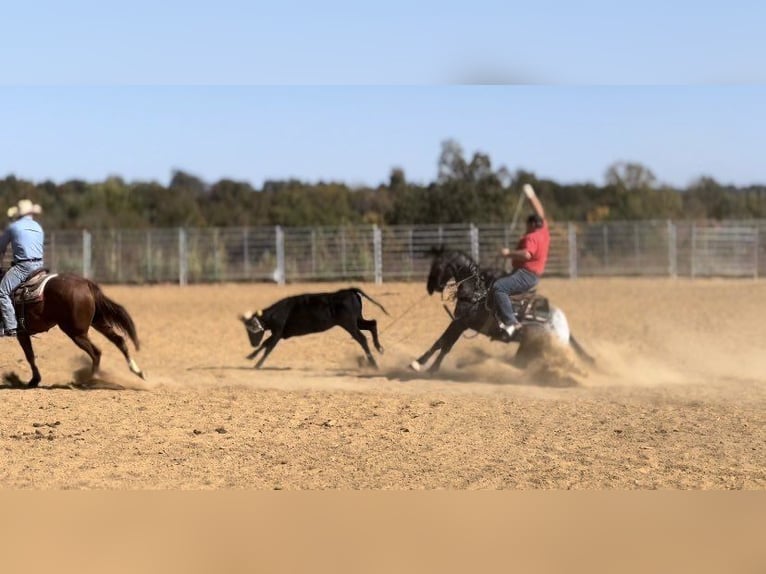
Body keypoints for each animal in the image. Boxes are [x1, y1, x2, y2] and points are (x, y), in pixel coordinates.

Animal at [7, 272, 146, 390]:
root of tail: (86, 283)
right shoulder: (23, 333)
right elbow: (30, 355)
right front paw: (34, 380)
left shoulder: (21, 333)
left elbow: (30, 356)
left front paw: (34, 381)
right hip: (97, 322)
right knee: (119, 340)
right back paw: (137, 371)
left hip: (76, 333)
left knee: (97, 352)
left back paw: (90, 380)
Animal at [408, 248, 592, 374]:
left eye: (437, 266)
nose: (430, 287)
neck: (477, 293)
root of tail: (564, 328)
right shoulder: (459, 322)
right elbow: (442, 343)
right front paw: (424, 364)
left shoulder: (460, 323)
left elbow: (444, 344)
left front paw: (425, 366)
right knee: (519, 363)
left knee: (520, 364)